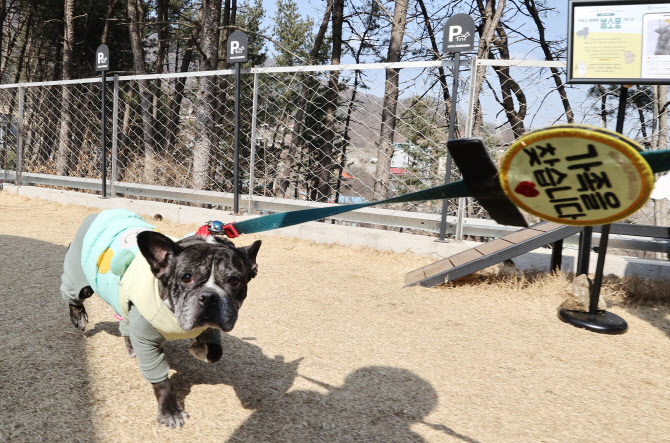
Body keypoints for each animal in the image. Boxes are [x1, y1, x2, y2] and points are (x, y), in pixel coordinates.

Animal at [59, 210, 262, 428]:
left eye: (235, 280)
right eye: (186, 277)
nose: (209, 297)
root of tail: (101, 213)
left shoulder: (211, 327)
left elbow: (216, 351)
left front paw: (198, 349)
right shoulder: (146, 341)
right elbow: (161, 380)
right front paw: (170, 411)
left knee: (124, 322)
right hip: (79, 276)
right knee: (73, 295)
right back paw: (79, 317)